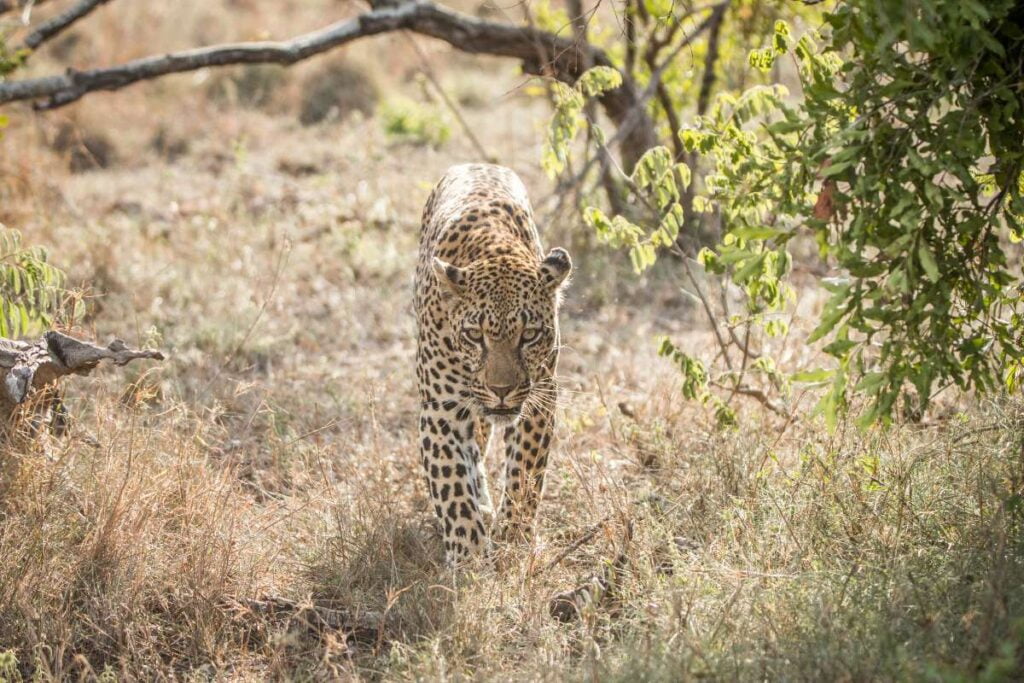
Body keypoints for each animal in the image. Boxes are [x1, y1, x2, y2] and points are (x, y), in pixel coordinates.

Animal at [415, 161, 577, 565]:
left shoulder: (540, 399)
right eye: (475, 335)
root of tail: (477, 163)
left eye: (529, 335)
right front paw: (469, 559)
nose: (500, 390)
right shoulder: (440, 410)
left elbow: (524, 475)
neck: (494, 248)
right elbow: (453, 487)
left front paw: (513, 539)